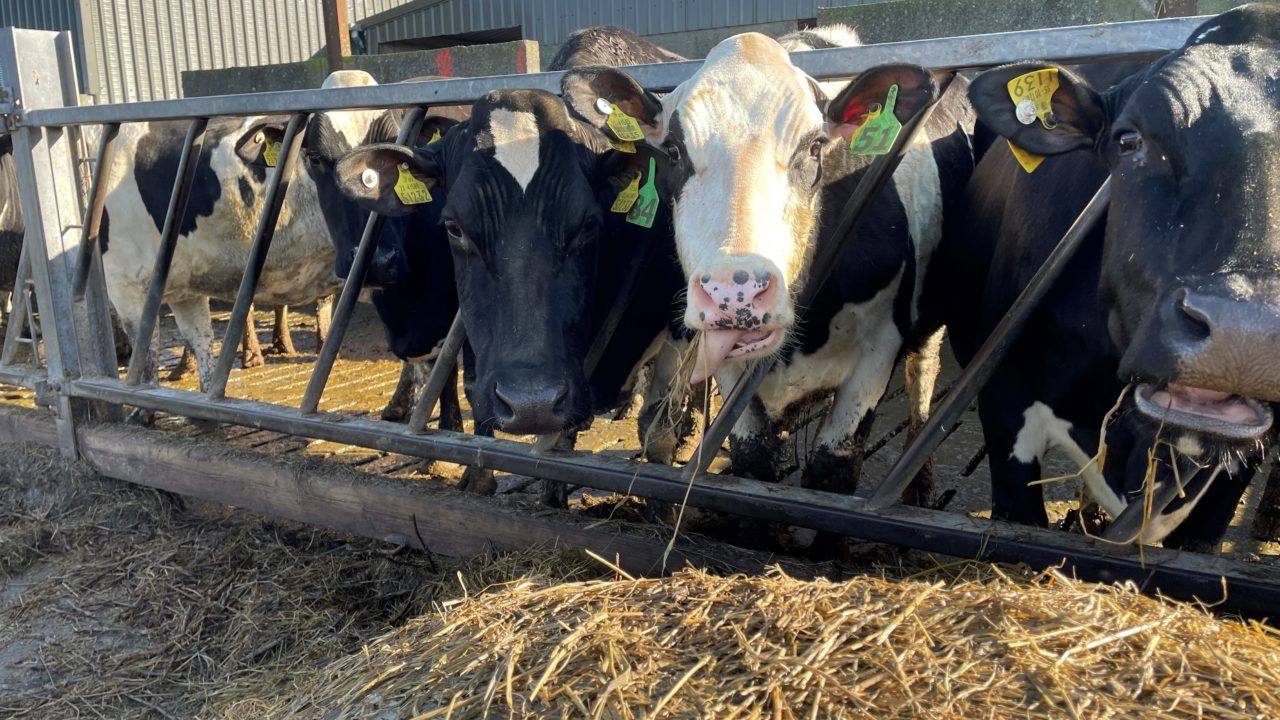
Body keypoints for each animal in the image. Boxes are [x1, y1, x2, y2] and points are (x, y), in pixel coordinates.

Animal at [570, 33, 978, 512]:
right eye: (673, 150)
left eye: (816, 146)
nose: (734, 293)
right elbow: (753, 461)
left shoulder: (878, 350)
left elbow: (833, 468)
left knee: (922, 377)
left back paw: (919, 485)